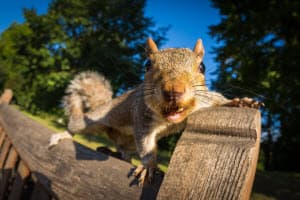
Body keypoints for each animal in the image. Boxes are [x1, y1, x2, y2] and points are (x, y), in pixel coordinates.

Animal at [48, 38, 262, 186]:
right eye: (147, 65)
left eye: (202, 66)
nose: (174, 90)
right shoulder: (142, 118)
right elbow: (146, 144)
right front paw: (150, 166)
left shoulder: (204, 101)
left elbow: (219, 100)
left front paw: (239, 102)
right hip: (95, 120)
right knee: (76, 126)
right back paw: (62, 136)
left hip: (127, 142)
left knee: (124, 149)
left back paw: (119, 155)